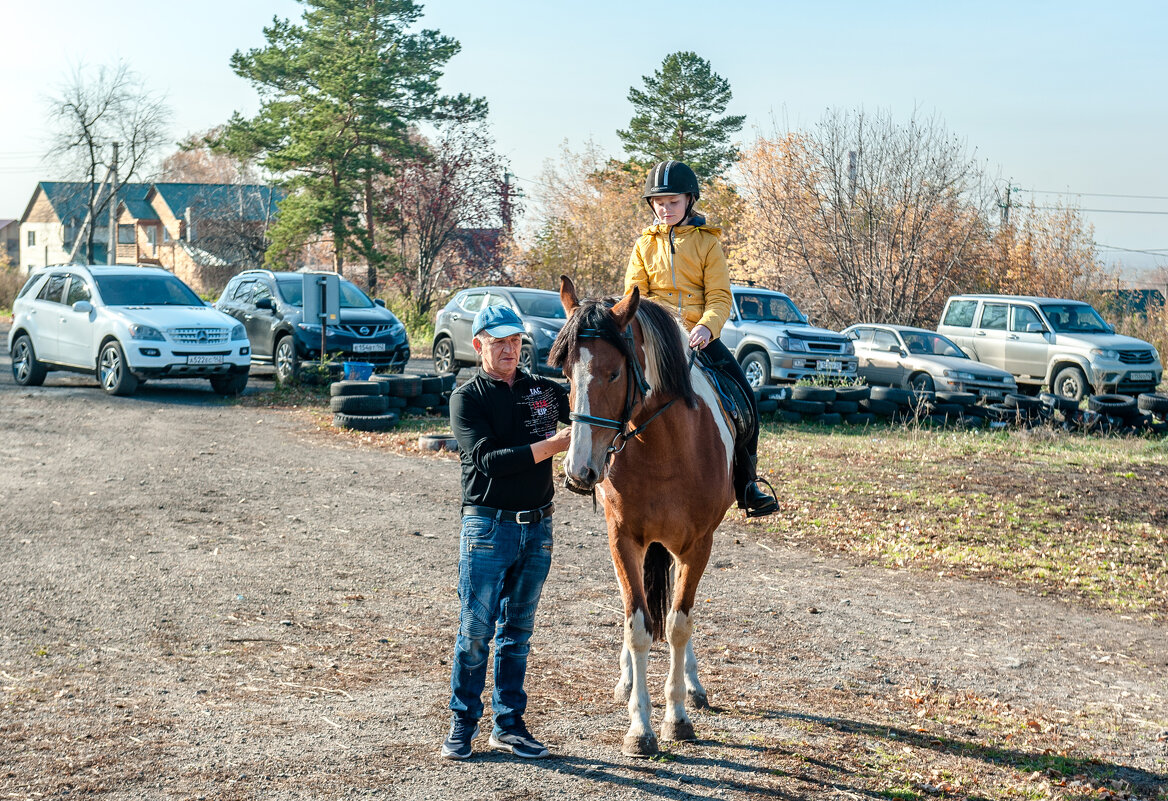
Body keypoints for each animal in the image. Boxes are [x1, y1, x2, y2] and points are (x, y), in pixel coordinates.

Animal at [551, 275, 733, 761]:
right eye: (566, 373)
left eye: (615, 373)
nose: (579, 470)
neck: (664, 447)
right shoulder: (623, 539)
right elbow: (637, 625)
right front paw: (640, 727)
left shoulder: (697, 545)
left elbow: (678, 624)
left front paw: (678, 718)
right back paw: (628, 680)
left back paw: (693, 685)